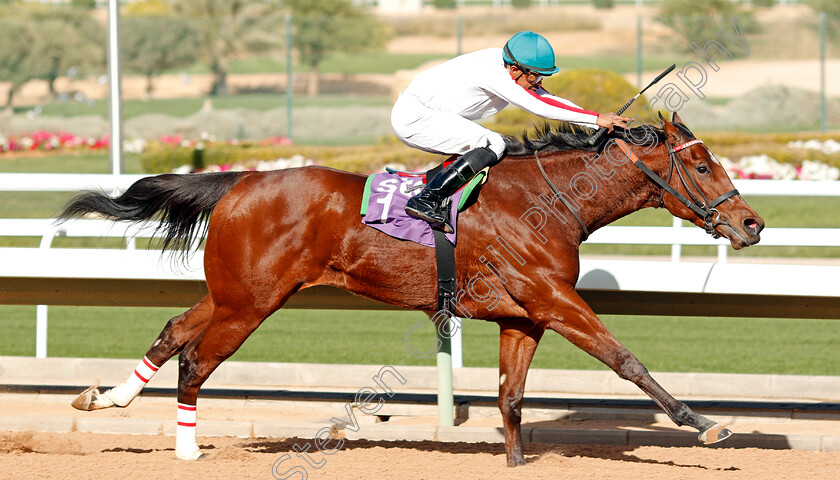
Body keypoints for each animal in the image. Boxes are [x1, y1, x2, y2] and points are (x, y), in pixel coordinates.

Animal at [64, 112, 760, 464]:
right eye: (702, 165)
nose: (751, 223)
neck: (549, 201)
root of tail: (239, 181)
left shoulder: (524, 317)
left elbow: (511, 398)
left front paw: (514, 462)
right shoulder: (553, 301)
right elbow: (624, 358)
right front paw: (704, 424)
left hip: (234, 291)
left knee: (172, 332)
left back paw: (107, 398)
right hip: (250, 302)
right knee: (195, 359)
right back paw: (187, 451)